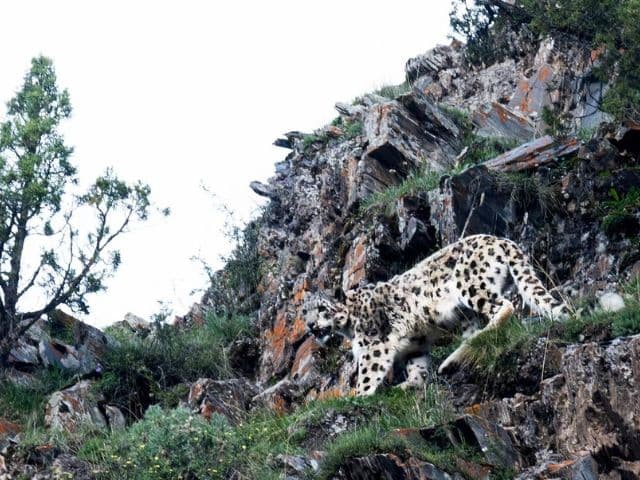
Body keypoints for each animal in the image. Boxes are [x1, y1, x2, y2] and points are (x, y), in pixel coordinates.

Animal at [304, 234, 569, 396]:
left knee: (503, 306)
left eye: (321, 308)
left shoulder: (373, 345)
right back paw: (453, 359)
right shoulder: (415, 344)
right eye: (304, 312)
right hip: (466, 314)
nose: (310, 326)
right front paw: (409, 385)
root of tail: (500, 239)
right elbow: (417, 367)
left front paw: (358, 396)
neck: (349, 327)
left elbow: (368, 374)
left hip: (470, 286)